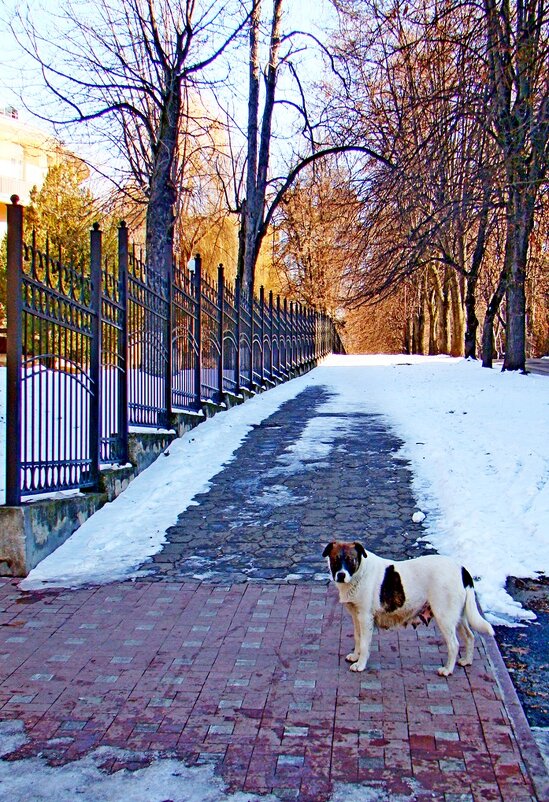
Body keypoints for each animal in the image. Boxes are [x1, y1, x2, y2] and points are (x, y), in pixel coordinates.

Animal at [324, 536, 494, 676]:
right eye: (335, 560)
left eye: (350, 560)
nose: (341, 575)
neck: (360, 572)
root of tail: (462, 569)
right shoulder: (356, 617)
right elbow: (358, 638)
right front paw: (355, 656)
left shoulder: (365, 618)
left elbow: (365, 644)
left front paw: (360, 664)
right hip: (458, 616)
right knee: (470, 636)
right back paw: (467, 661)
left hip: (444, 616)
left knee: (454, 644)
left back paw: (447, 670)